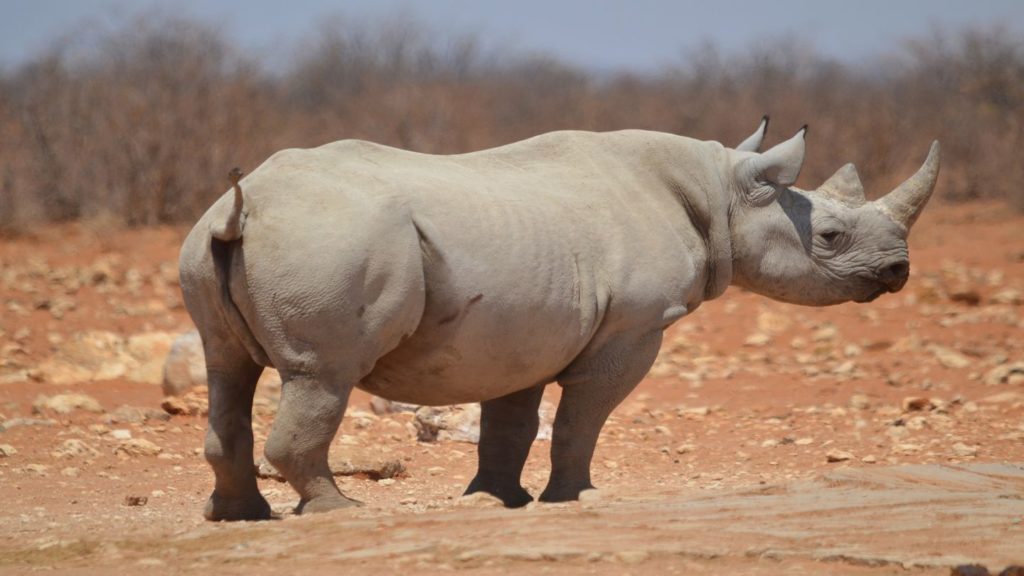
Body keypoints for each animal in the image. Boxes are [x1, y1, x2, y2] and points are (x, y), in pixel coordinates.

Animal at [179, 117, 940, 520]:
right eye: (831, 237)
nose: (898, 271)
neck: (720, 192)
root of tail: (243, 206)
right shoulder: (636, 325)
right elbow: (582, 417)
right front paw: (572, 498)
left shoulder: (518, 326)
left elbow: (511, 422)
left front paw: (499, 499)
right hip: (331, 243)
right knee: (323, 374)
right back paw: (338, 512)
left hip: (207, 245)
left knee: (227, 368)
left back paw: (240, 516)